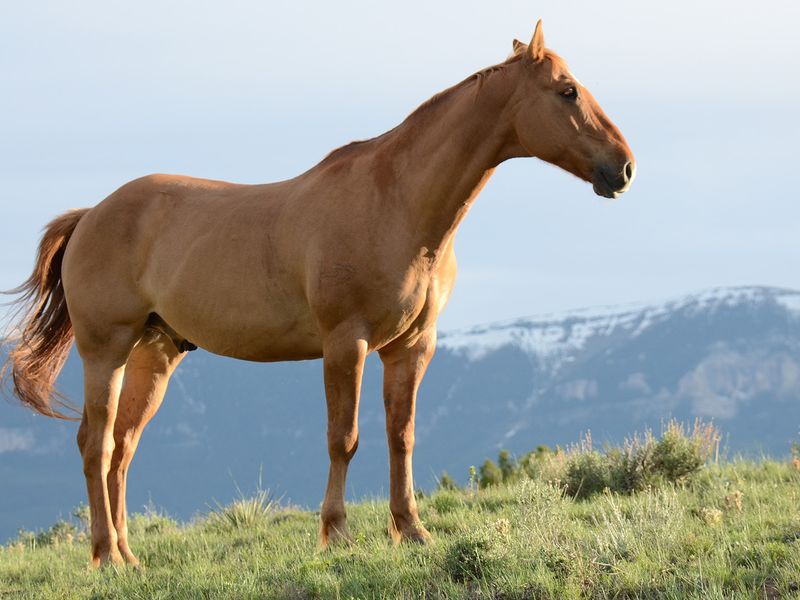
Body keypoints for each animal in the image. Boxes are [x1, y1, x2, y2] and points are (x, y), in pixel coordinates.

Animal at [1, 21, 634, 567]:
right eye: (567, 91)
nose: (624, 168)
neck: (396, 203)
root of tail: (91, 215)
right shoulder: (345, 344)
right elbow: (344, 439)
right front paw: (337, 534)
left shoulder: (412, 347)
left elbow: (401, 436)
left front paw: (412, 530)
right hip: (105, 349)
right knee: (96, 444)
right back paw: (106, 556)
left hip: (154, 354)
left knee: (123, 449)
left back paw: (129, 557)